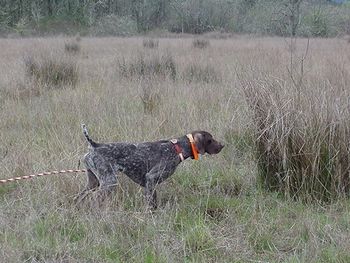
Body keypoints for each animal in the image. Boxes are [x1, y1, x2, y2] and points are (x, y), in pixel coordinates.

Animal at [76, 125, 224, 209]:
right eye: (210, 139)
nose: (222, 145)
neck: (177, 149)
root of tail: (95, 145)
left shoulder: (150, 183)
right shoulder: (151, 178)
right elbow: (151, 203)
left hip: (93, 182)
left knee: (77, 197)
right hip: (109, 182)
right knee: (94, 199)